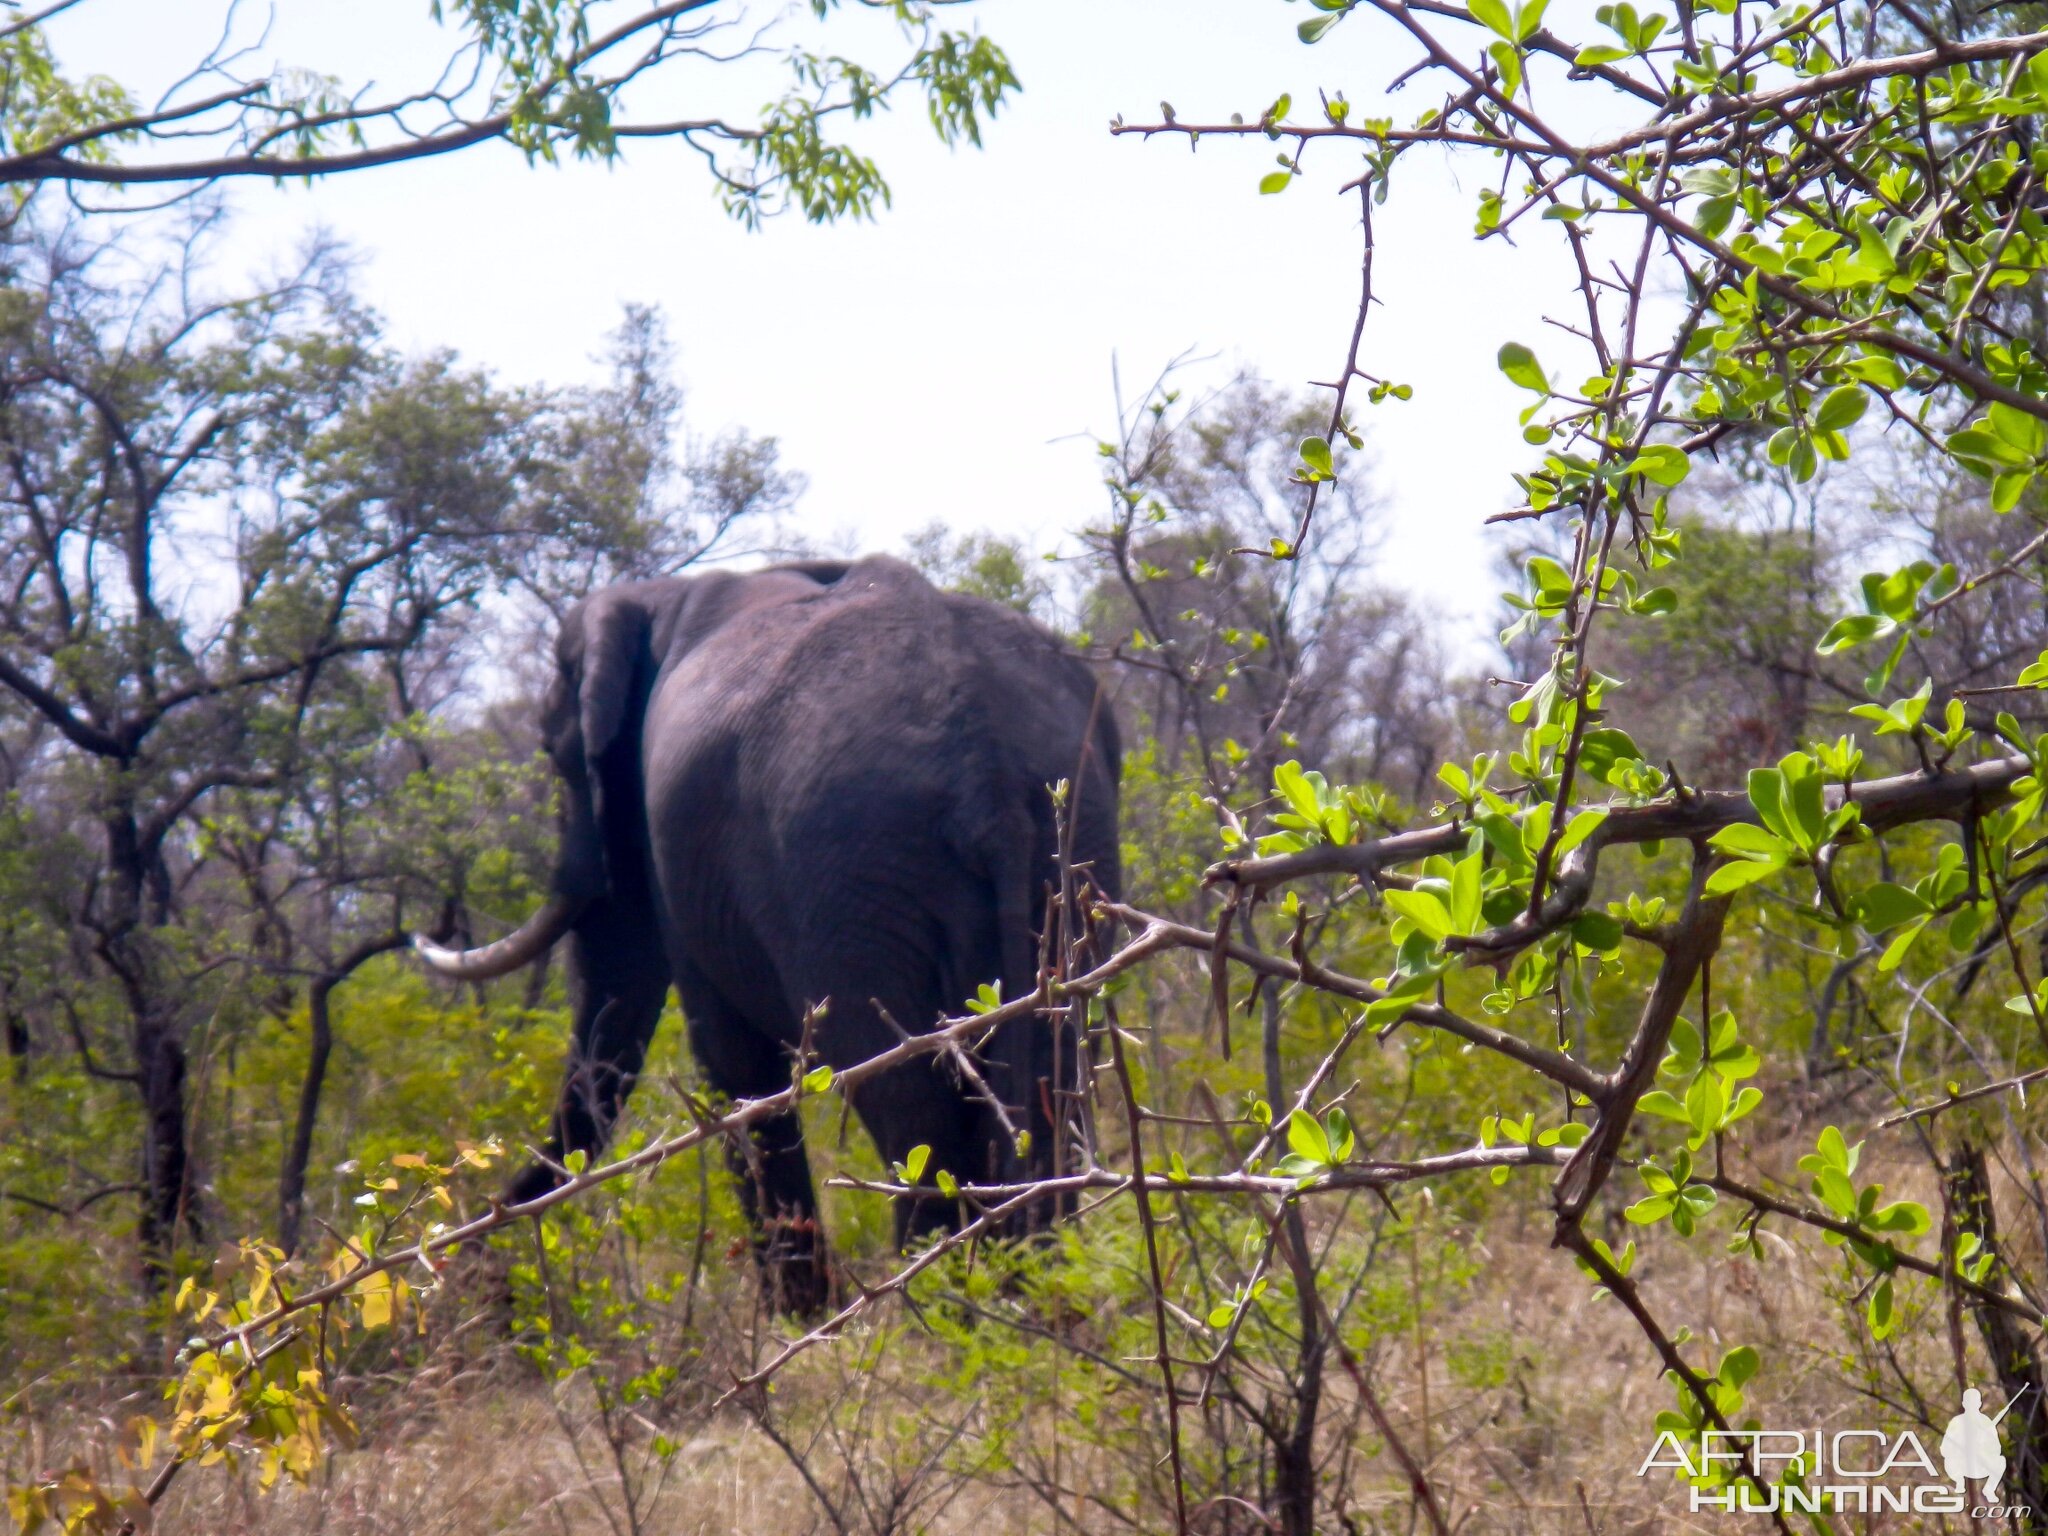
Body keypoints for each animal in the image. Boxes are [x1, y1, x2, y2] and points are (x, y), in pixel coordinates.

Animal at [417, 561, 1122, 1318]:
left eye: (555, 755)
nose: (477, 1277)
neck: (658, 599)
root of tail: (984, 767)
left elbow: (730, 1061)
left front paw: (801, 1321)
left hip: (847, 872)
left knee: (909, 1105)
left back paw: (926, 1315)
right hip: (1064, 843)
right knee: (1053, 1074)